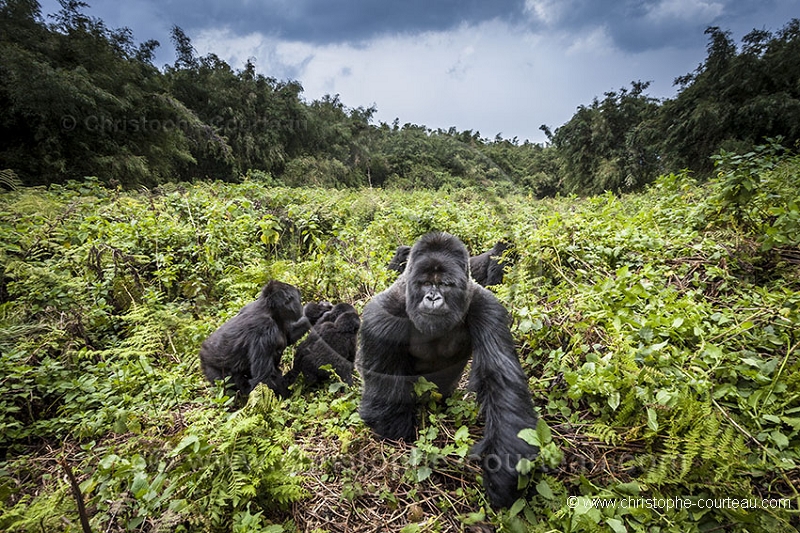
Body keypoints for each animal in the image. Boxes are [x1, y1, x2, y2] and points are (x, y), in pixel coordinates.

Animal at [360, 232, 540, 508]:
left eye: (445, 284)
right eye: (424, 283)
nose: (433, 298)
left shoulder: (488, 308)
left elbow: (500, 383)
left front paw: (504, 475)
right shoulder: (381, 316)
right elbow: (384, 402)